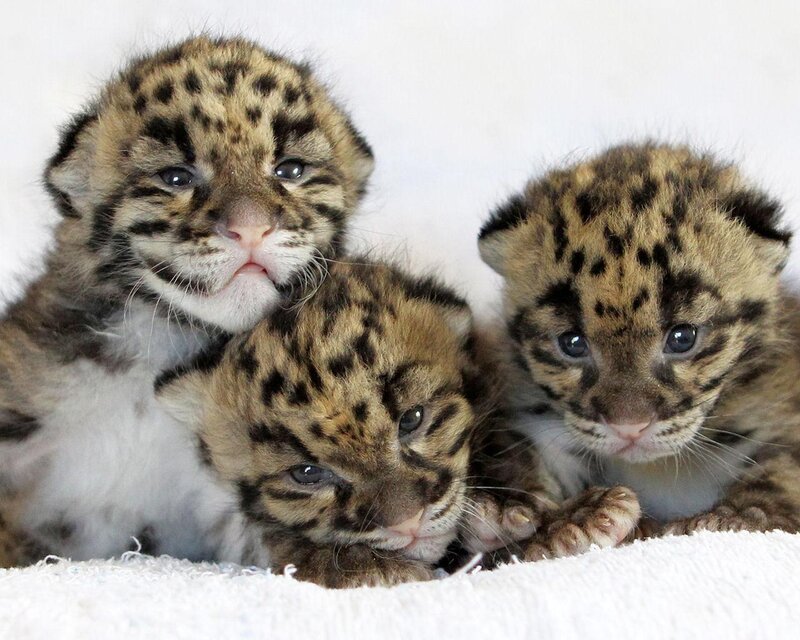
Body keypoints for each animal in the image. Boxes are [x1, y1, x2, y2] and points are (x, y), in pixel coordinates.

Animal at [477, 141, 800, 538]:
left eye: (682, 338)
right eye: (572, 343)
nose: (629, 427)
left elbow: (783, 466)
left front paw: (742, 514)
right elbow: (523, 453)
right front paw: (531, 511)